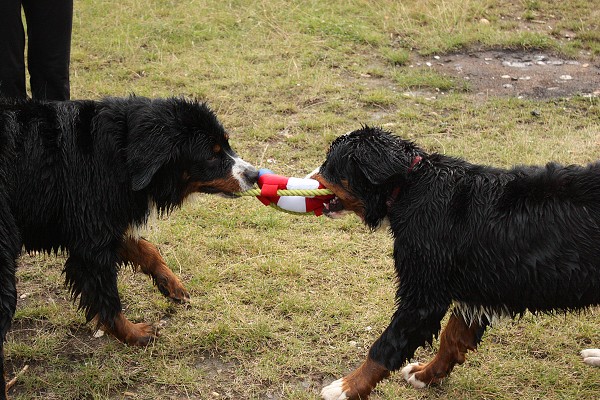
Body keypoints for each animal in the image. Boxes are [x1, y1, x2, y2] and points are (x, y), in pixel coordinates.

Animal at [0, 95, 255, 398]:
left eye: (226, 144)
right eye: (211, 154)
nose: (254, 174)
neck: (119, 153)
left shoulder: (101, 224)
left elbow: (147, 250)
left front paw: (172, 285)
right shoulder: (92, 242)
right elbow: (109, 301)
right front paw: (136, 334)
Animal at [314, 127, 600, 400]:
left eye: (329, 164)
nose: (309, 176)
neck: (411, 186)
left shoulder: (423, 297)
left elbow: (384, 348)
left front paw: (346, 388)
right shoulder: (476, 288)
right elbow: (451, 338)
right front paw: (426, 375)